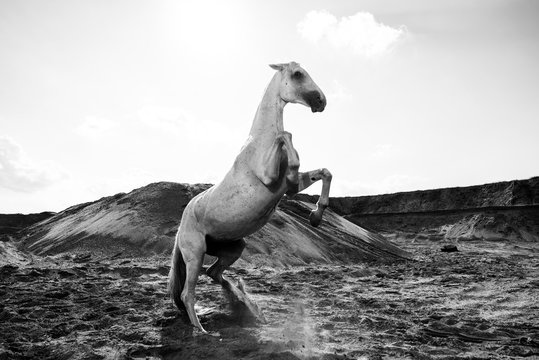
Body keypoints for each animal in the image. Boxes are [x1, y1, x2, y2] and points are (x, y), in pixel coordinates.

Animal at [169, 61, 332, 332]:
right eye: (297, 74)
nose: (321, 101)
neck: (261, 142)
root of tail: (181, 227)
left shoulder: (289, 188)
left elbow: (325, 173)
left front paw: (316, 216)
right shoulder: (269, 179)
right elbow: (286, 136)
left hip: (234, 248)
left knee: (213, 273)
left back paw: (246, 304)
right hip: (195, 253)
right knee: (186, 294)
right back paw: (202, 331)